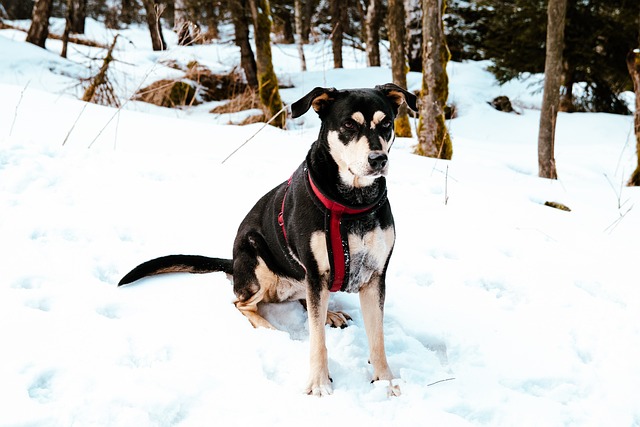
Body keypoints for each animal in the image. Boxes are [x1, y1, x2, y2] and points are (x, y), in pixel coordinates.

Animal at [119, 83, 420, 398]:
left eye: (386, 124)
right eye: (349, 125)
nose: (378, 159)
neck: (352, 203)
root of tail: (233, 261)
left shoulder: (375, 275)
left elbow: (377, 338)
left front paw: (385, 382)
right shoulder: (316, 272)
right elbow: (317, 341)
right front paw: (318, 382)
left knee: (305, 303)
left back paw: (330, 314)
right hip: (256, 257)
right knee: (242, 304)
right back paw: (271, 329)